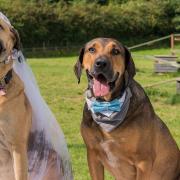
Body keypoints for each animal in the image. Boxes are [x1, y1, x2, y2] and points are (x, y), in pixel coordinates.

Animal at [74, 37, 179, 179]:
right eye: (91, 49)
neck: (106, 106)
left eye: (115, 51)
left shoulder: (143, 163)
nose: (101, 63)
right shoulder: (92, 155)